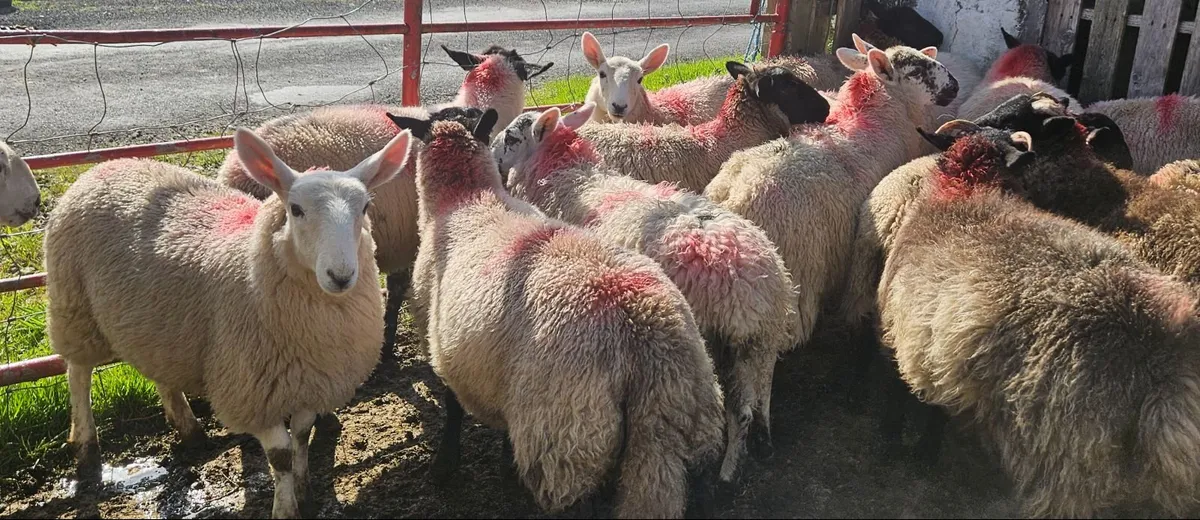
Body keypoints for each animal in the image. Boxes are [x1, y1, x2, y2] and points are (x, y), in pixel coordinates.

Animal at [45, 127, 412, 519]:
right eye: (295, 210)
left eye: (365, 208)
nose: (340, 276)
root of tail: (110, 165)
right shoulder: (251, 391)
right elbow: (280, 455)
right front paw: (285, 508)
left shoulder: (312, 380)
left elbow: (301, 436)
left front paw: (305, 491)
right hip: (74, 305)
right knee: (78, 372)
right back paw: (86, 447)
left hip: (156, 322)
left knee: (159, 370)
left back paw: (188, 429)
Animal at [400, 107, 724, 518]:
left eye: (510, 139)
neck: (465, 198)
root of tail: (644, 328)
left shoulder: (441, 340)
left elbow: (453, 406)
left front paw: (446, 465)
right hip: (683, 422)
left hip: (568, 438)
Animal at [492, 103, 798, 483]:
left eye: (512, 137)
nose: (490, 152)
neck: (570, 176)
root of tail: (753, 282)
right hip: (762, 337)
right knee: (761, 389)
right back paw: (763, 440)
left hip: (718, 338)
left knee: (737, 409)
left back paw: (727, 472)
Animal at [874, 127, 1200, 517]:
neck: (965, 192)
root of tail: (1161, 363)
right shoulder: (939, 350)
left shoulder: (907, 333)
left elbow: (909, 397)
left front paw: (901, 444)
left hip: (1066, 458)